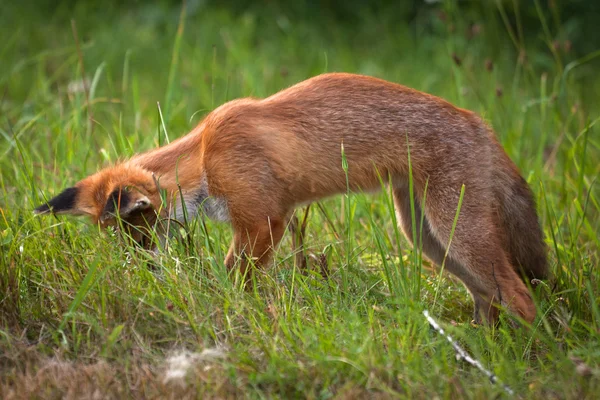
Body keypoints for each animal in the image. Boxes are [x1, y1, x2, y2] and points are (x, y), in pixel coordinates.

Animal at [35, 72, 548, 324]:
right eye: (122, 243)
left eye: (139, 237)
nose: (144, 272)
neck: (203, 156)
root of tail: (478, 120)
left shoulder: (265, 220)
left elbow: (235, 278)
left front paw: (232, 314)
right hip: (426, 236)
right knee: (488, 295)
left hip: (457, 231)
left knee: (520, 296)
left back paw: (525, 356)